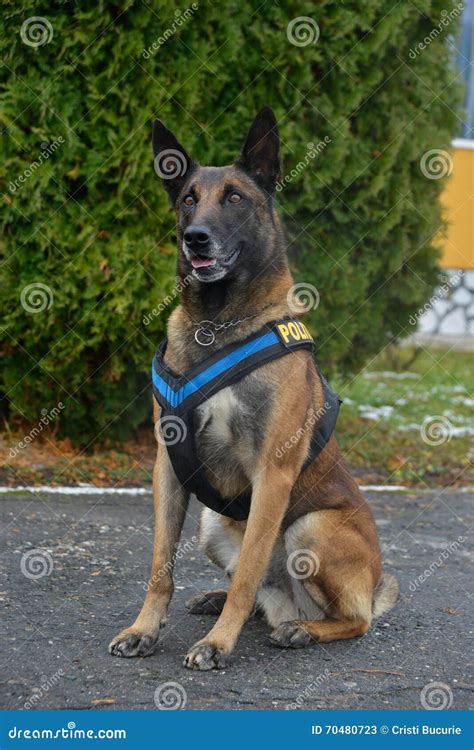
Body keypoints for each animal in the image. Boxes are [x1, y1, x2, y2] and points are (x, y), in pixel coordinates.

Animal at [109, 104, 398, 668]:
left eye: (235, 198)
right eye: (189, 199)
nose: (195, 237)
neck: (217, 324)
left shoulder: (273, 473)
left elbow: (246, 575)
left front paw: (219, 643)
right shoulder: (167, 468)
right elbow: (160, 568)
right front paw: (144, 629)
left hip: (310, 528)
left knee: (351, 618)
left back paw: (302, 629)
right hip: (212, 524)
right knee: (265, 596)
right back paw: (225, 602)